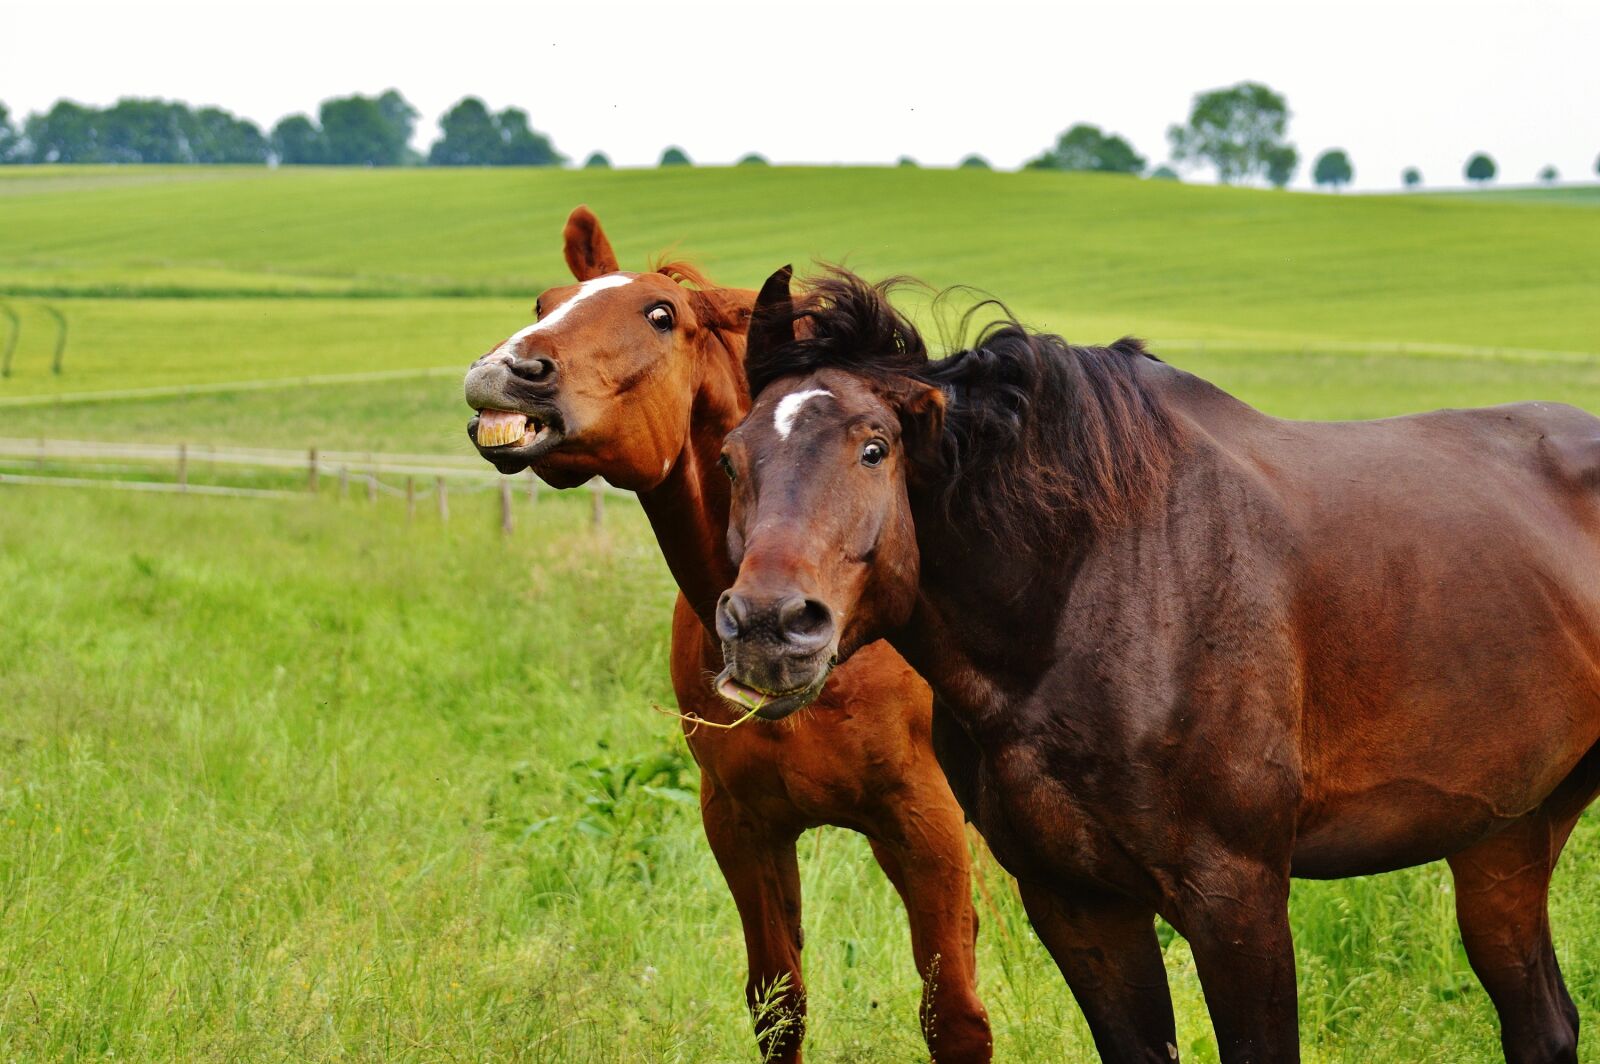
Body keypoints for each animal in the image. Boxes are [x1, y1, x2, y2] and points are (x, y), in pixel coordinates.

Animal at [461, 212, 992, 1063]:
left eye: (659, 315)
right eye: (545, 301)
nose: (503, 372)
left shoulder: (926, 826)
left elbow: (955, 1016)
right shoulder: (744, 827)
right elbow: (778, 1007)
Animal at [713, 266, 1600, 1064]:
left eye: (874, 449)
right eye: (730, 458)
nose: (768, 626)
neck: (1089, 593)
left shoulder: (1237, 898)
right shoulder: (1077, 904)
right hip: (1507, 837)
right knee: (1544, 1026)